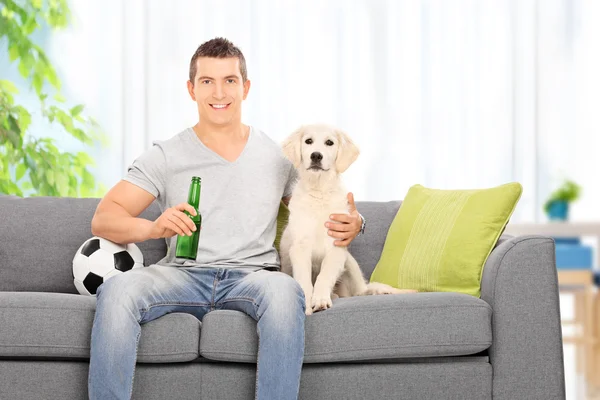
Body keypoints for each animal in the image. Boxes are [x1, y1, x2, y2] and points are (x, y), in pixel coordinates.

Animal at [278, 125, 414, 316]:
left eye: (329, 142)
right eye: (308, 141)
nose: (316, 156)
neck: (320, 192)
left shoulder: (337, 246)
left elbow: (324, 275)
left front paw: (320, 300)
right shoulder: (300, 247)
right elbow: (304, 279)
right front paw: (307, 303)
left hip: (349, 261)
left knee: (362, 291)